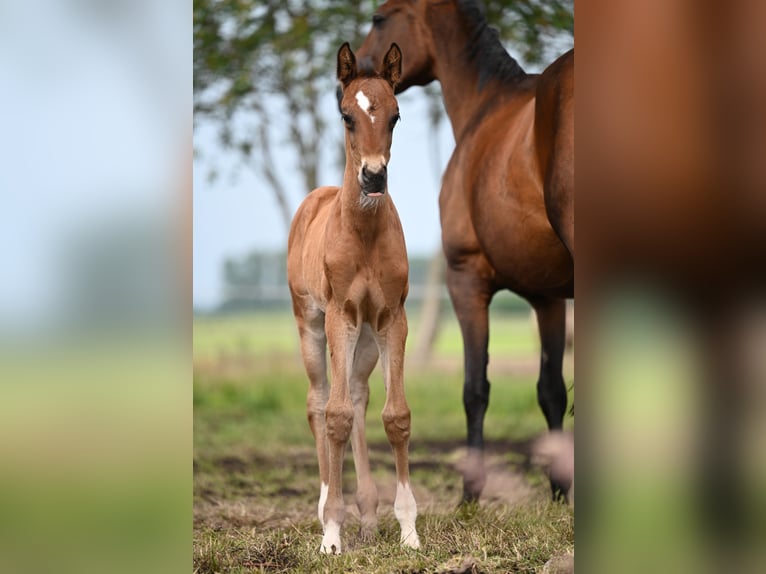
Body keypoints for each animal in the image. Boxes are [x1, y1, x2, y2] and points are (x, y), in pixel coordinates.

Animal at [288, 42, 424, 556]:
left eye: (396, 115)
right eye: (347, 115)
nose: (373, 177)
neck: (363, 232)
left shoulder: (391, 318)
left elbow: (395, 416)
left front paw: (408, 529)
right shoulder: (339, 316)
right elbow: (336, 416)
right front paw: (331, 532)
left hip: (365, 339)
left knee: (362, 398)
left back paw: (366, 514)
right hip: (310, 323)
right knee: (319, 401)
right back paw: (328, 504)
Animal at [360, 0, 576, 502]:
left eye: (380, 17)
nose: (356, 71)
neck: (487, 107)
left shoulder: (466, 279)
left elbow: (475, 388)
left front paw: (470, 495)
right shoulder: (549, 298)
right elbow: (551, 390)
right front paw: (559, 491)